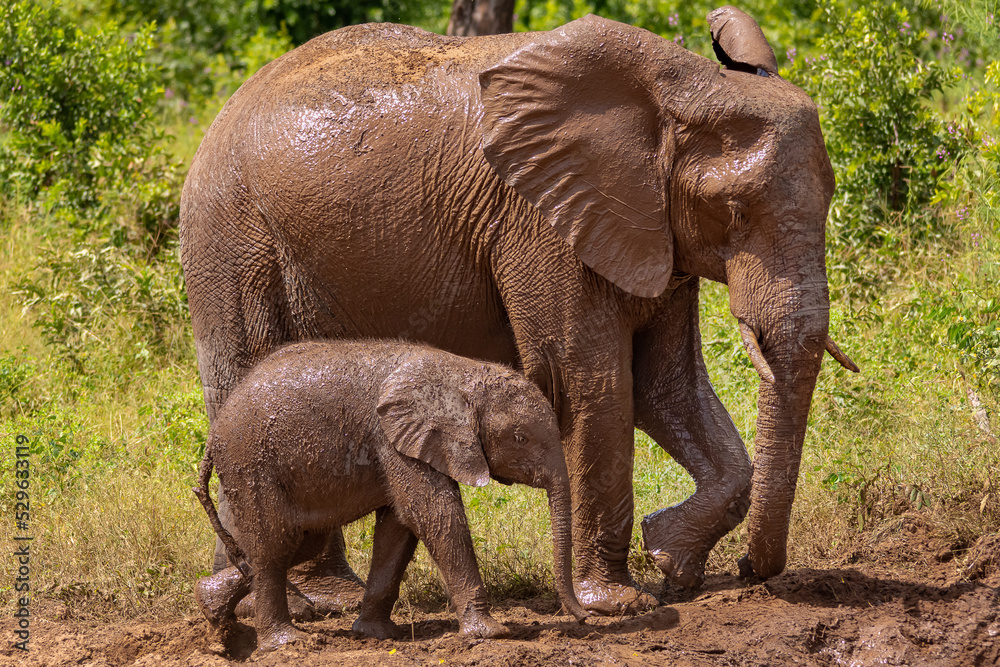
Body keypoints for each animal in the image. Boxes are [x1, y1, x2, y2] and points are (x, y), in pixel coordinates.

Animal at [179, 7, 858, 614]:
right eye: (734, 210)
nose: (749, 572)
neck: (684, 84)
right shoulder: (539, 222)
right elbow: (591, 383)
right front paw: (618, 601)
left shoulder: (652, 230)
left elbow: (668, 385)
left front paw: (672, 561)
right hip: (231, 239)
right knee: (244, 376)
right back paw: (290, 598)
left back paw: (299, 594)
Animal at [193, 340, 589, 651]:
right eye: (520, 438)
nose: (585, 617)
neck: (463, 372)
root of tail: (214, 435)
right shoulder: (394, 438)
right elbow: (433, 514)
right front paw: (491, 634)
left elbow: (398, 528)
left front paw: (377, 635)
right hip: (252, 465)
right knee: (275, 545)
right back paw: (285, 643)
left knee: (299, 544)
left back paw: (211, 608)